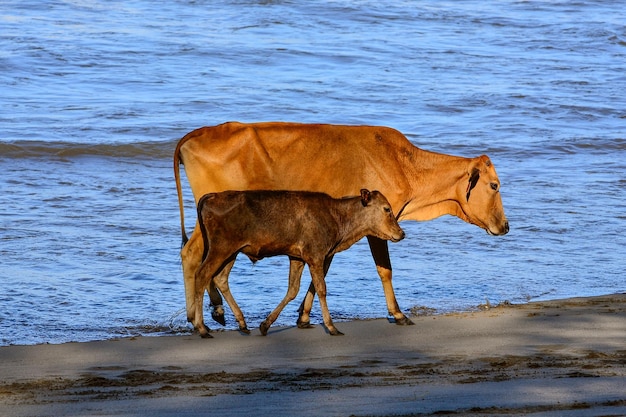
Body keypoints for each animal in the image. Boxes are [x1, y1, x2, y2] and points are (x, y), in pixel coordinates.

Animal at [193, 188, 402, 338]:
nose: (401, 233)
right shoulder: (315, 255)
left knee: (220, 278)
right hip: (221, 248)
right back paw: (202, 328)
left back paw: (242, 324)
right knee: (202, 274)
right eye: (387, 208)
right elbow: (321, 288)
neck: (339, 220)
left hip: (232, 252)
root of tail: (212, 196)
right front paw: (331, 327)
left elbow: (293, 290)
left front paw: (265, 325)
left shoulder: (297, 257)